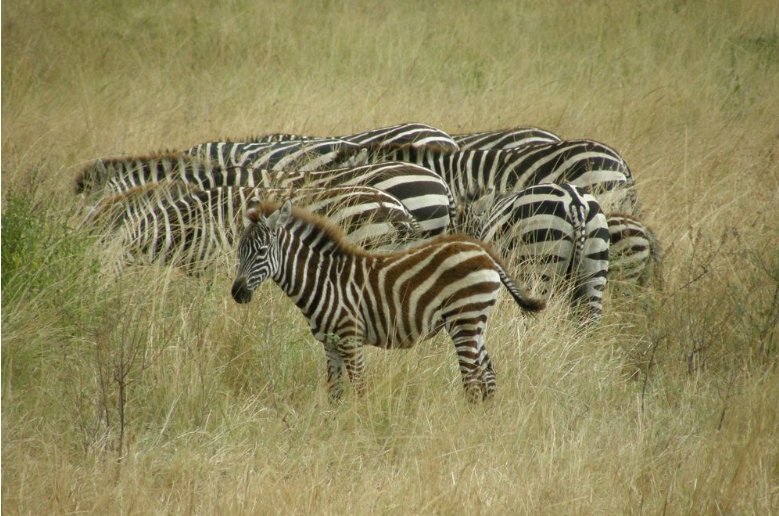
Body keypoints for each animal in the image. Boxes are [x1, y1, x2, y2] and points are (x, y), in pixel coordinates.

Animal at [233, 200, 548, 402]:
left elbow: (360, 388)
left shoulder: (351, 337)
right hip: (476, 321)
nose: (237, 293)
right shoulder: (330, 343)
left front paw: (361, 428)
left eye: (261, 251)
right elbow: (335, 392)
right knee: (488, 376)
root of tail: (482, 250)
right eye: (239, 250)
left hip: (465, 319)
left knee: (472, 380)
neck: (324, 281)